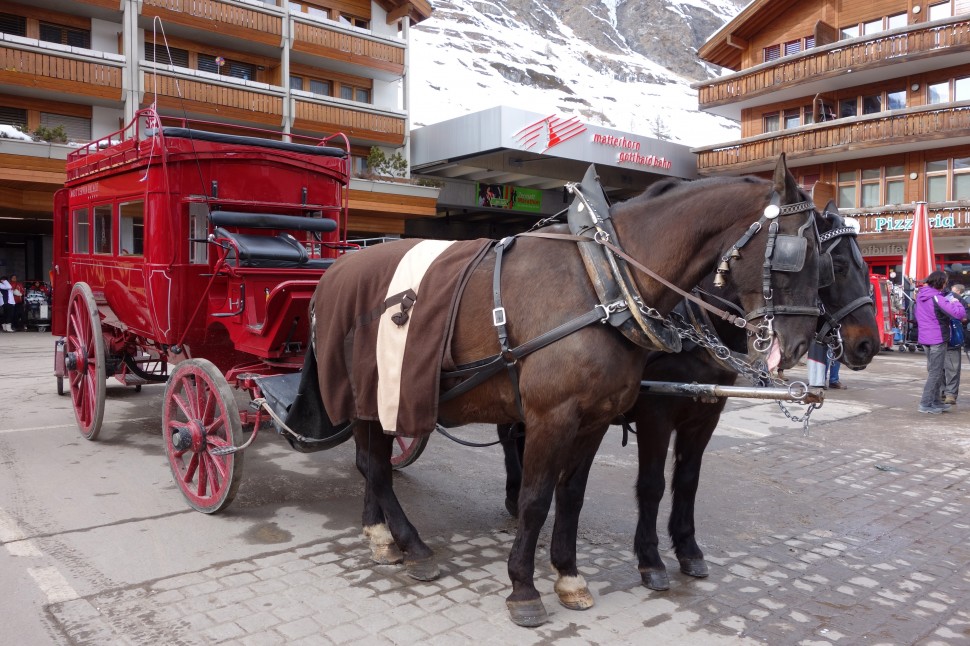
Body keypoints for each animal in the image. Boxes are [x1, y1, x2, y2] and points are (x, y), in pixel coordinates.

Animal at [308, 156, 816, 628]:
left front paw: (569, 576)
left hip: (380, 397)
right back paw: (410, 544)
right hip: (369, 391)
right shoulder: (557, 416)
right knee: (374, 465)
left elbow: (571, 495)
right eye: (799, 252)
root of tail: (337, 268)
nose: (797, 346)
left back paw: (382, 536)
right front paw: (523, 588)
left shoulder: (595, 418)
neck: (602, 282)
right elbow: (536, 500)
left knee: (372, 462)